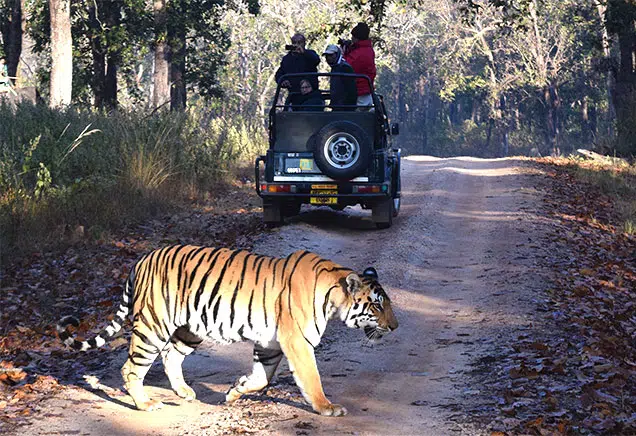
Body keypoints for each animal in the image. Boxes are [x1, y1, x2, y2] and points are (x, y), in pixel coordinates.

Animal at [58, 244, 398, 418]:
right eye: (377, 305)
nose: (395, 326)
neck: (333, 296)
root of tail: (142, 259)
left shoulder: (270, 343)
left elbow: (262, 378)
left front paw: (235, 391)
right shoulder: (297, 342)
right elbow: (311, 378)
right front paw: (327, 407)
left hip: (189, 329)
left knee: (170, 356)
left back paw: (184, 392)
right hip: (153, 326)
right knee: (131, 368)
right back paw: (146, 404)